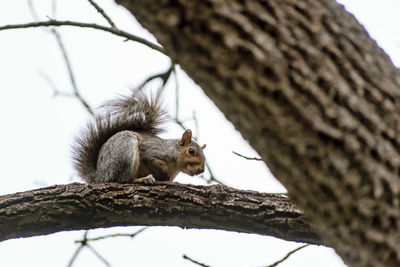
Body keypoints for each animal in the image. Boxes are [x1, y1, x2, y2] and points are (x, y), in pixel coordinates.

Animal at [71, 89, 206, 184]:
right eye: (191, 151)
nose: (201, 170)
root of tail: (99, 176)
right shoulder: (153, 150)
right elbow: (149, 158)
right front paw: (163, 172)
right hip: (125, 150)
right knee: (123, 180)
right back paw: (142, 179)